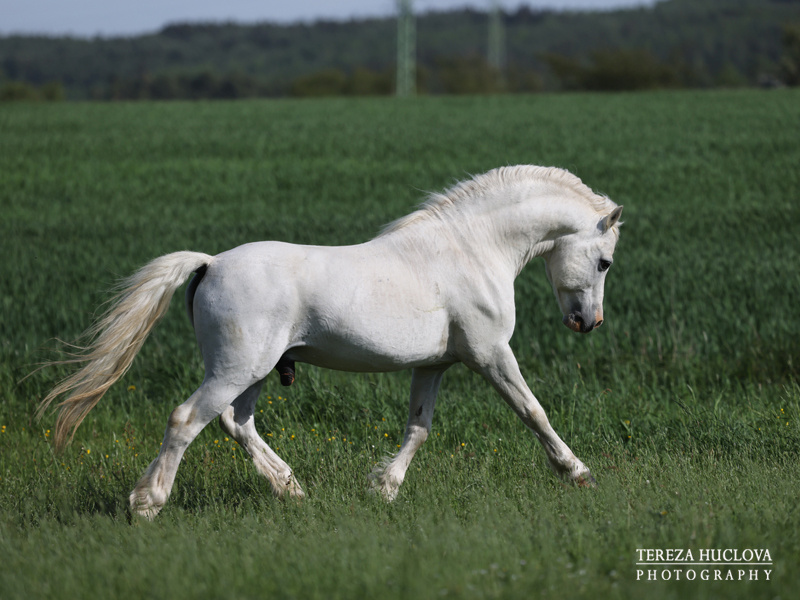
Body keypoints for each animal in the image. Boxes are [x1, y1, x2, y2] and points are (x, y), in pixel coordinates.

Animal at [37, 166, 624, 516]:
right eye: (604, 261)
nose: (588, 323)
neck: (471, 250)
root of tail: (209, 264)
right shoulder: (490, 354)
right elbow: (533, 411)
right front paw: (578, 474)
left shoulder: (434, 365)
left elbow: (419, 428)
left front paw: (383, 489)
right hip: (236, 368)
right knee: (187, 420)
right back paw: (147, 503)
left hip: (254, 372)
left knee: (236, 423)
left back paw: (291, 490)